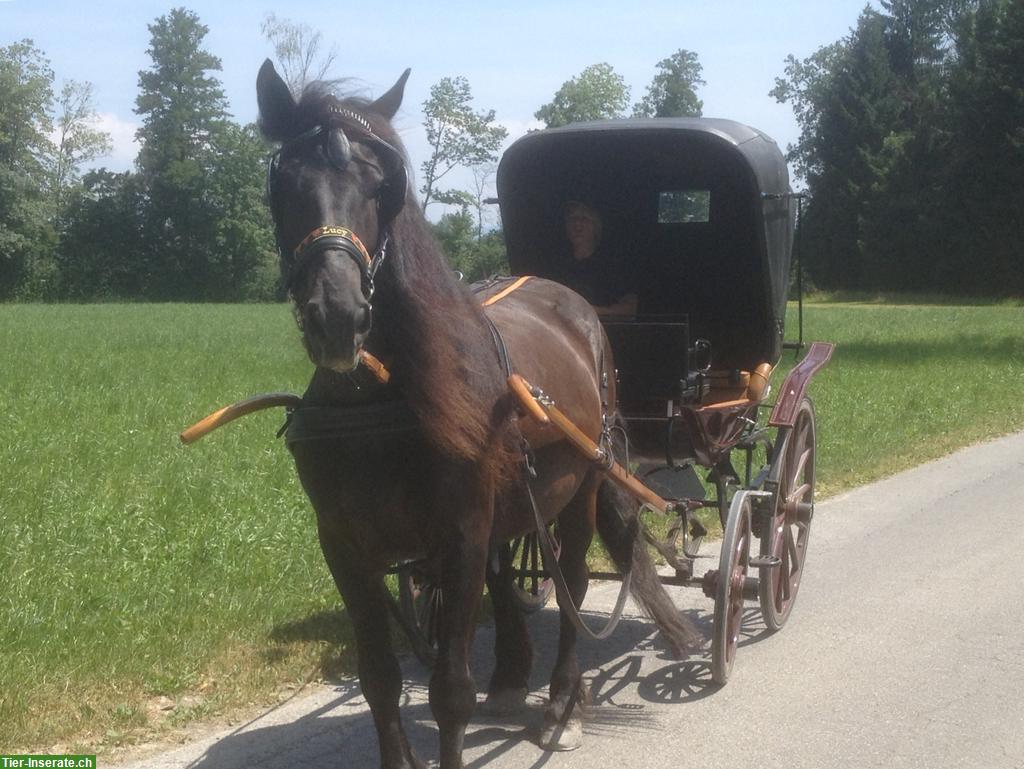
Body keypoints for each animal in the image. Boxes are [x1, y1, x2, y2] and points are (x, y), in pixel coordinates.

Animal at [260, 61, 700, 769]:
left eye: (382, 187)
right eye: (287, 182)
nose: (338, 316)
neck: (378, 398)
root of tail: (571, 302)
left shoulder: (461, 533)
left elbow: (449, 692)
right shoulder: (344, 545)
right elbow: (380, 679)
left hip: (582, 483)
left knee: (574, 581)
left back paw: (561, 702)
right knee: (510, 578)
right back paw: (515, 679)